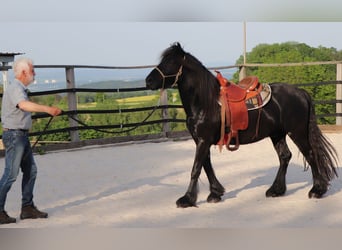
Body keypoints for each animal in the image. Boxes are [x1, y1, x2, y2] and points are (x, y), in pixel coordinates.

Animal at [145, 42, 340, 207]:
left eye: (170, 62)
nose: (148, 81)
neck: (205, 103)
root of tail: (301, 92)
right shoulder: (200, 140)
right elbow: (206, 166)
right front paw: (215, 193)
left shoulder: (203, 140)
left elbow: (196, 169)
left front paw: (187, 199)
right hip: (277, 134)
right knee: (285, 156)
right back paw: (276, 190)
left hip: (297, 132)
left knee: (311, 154)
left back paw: (317, 190)